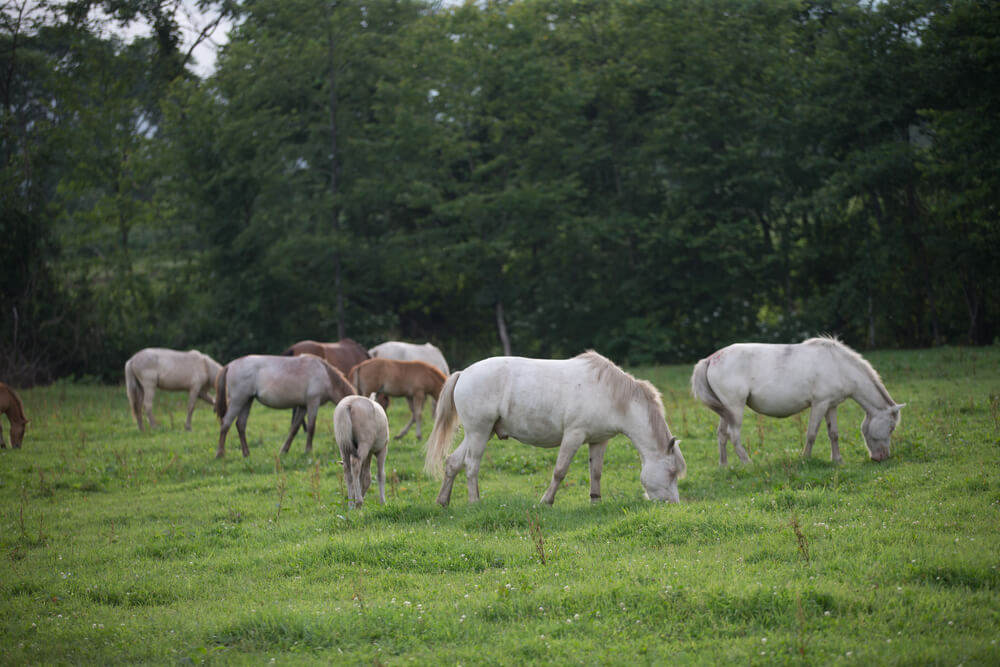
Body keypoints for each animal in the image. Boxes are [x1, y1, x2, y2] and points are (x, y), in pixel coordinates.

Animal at [422, 350, 688, 506]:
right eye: (671, 473)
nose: (673, 505)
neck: (612, 396)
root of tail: (464, 373)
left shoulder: (598, 441)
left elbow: (596, 473)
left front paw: (595, 502)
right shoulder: (573, 435)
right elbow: (560, 471)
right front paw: (546, 501)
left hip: (478, 433)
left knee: (453, 462)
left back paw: (443, 501)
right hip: (479, 433)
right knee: (471, 466)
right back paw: (474, 502)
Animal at [692, 340, 904, 464]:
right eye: (891, 427)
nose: (882, 457)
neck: (839, 365)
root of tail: (711, 359)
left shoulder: (831, 406)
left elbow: (833, 434)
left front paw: (837, 459)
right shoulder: (820, 404)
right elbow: (811, 434)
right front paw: (805, 458)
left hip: (725, 410)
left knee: (722, 435)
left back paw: (724, 466)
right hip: (735, 408)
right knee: (734, 436)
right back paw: (748, 463)